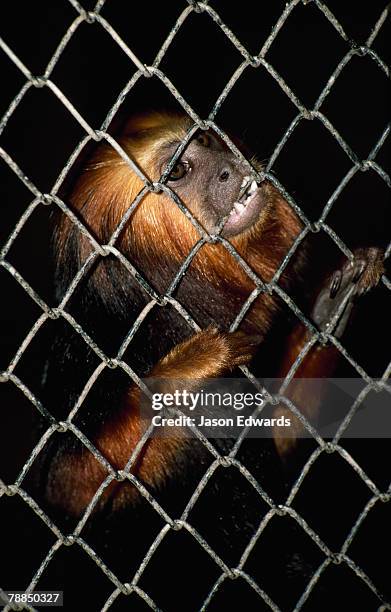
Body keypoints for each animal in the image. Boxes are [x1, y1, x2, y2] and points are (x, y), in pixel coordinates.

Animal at [36, 112, 386, 608]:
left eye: (206, 140)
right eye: (178, 171)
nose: (227, 168)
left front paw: (327, 315)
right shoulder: (85, 362)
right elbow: (70, 491)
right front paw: (188, 370)